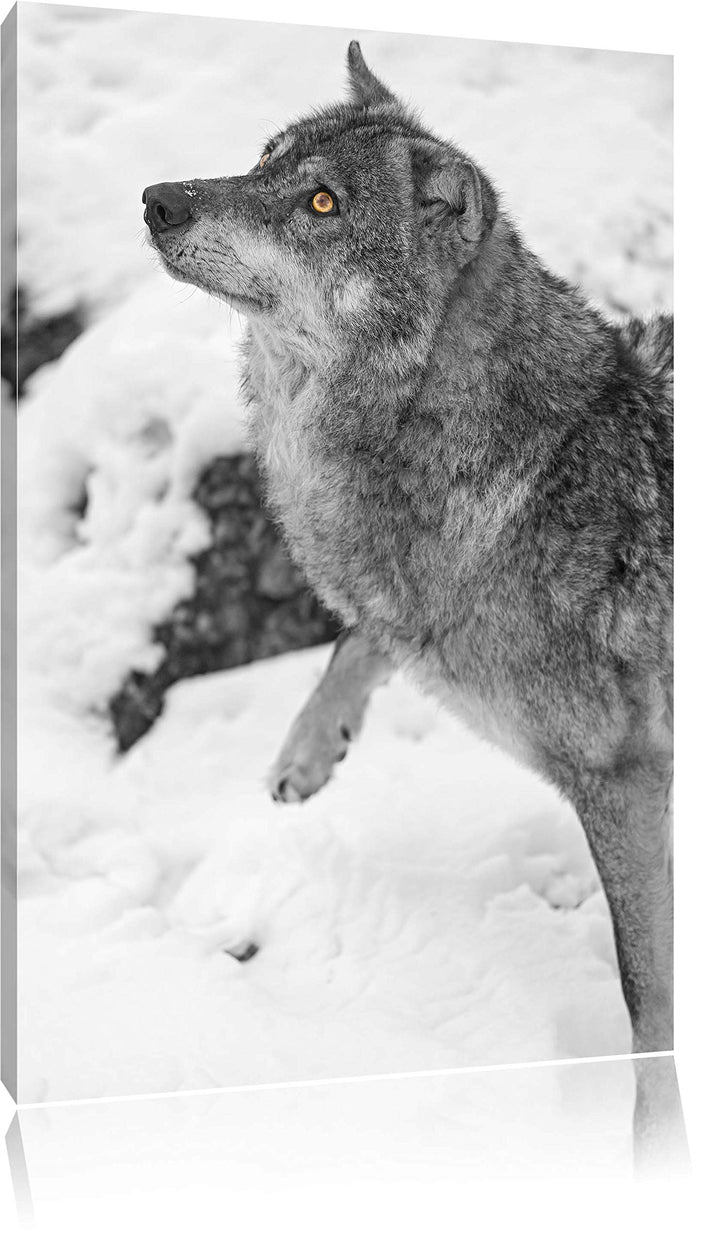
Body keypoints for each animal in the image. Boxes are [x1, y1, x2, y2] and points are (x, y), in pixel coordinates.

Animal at [143, 43, 674, 1147]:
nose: (157, 200)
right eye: (266, 155)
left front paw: (661, 1146)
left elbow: (648, 994)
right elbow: (363, 633)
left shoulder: (627, 777)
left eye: (323, 203)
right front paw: (310, 748)